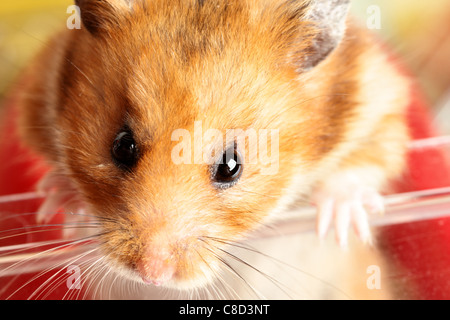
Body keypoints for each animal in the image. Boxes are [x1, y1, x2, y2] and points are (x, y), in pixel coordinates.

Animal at [14, 0, 412, 298]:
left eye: (231, 166)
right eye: (121, 146)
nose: (151, 274)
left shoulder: (380, 101)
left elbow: (365, 161)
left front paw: (337, 225)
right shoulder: (41, 84)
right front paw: (61, 202)